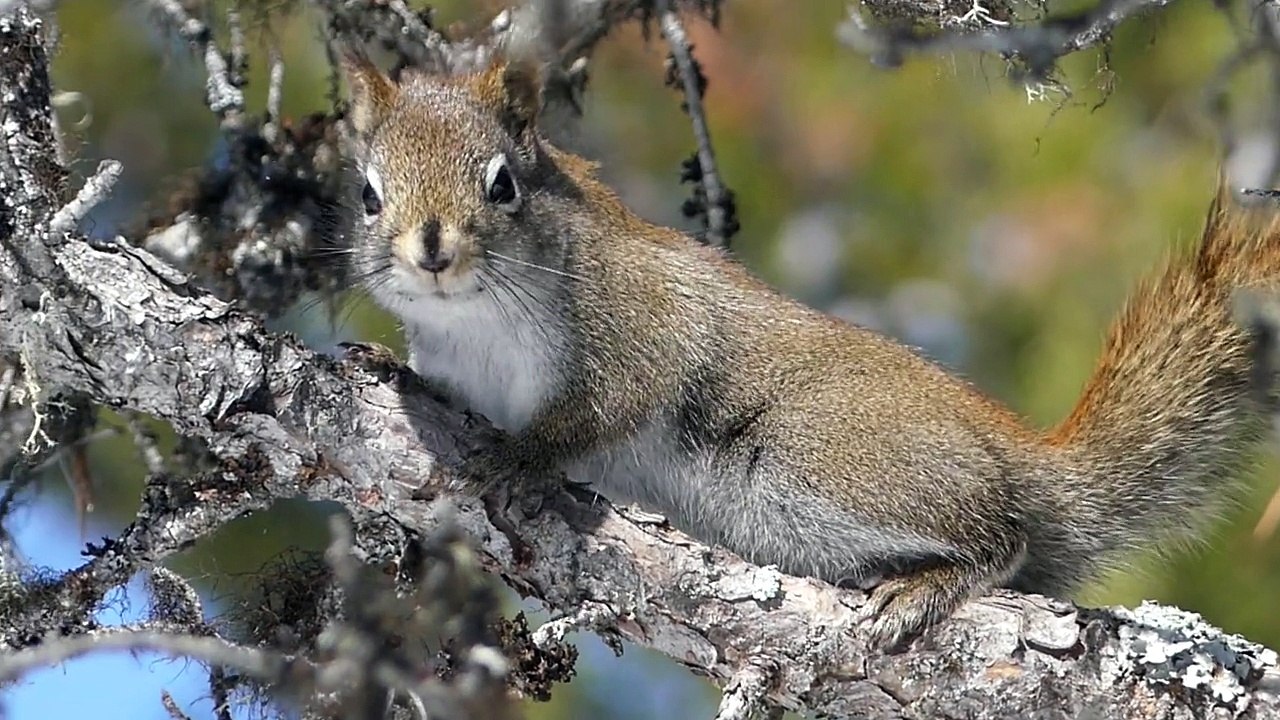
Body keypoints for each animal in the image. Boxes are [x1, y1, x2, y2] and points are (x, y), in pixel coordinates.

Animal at [338, 51, 1280, 647]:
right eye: (366, 194)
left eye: (502, 184)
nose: (431, 250)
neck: (476, 325)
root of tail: (1020, 459)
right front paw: (384, 365)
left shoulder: (637, 325)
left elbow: (605, 408)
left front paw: (520, 455)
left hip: (822, 457)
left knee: (1002, 539)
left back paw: (929, 585)